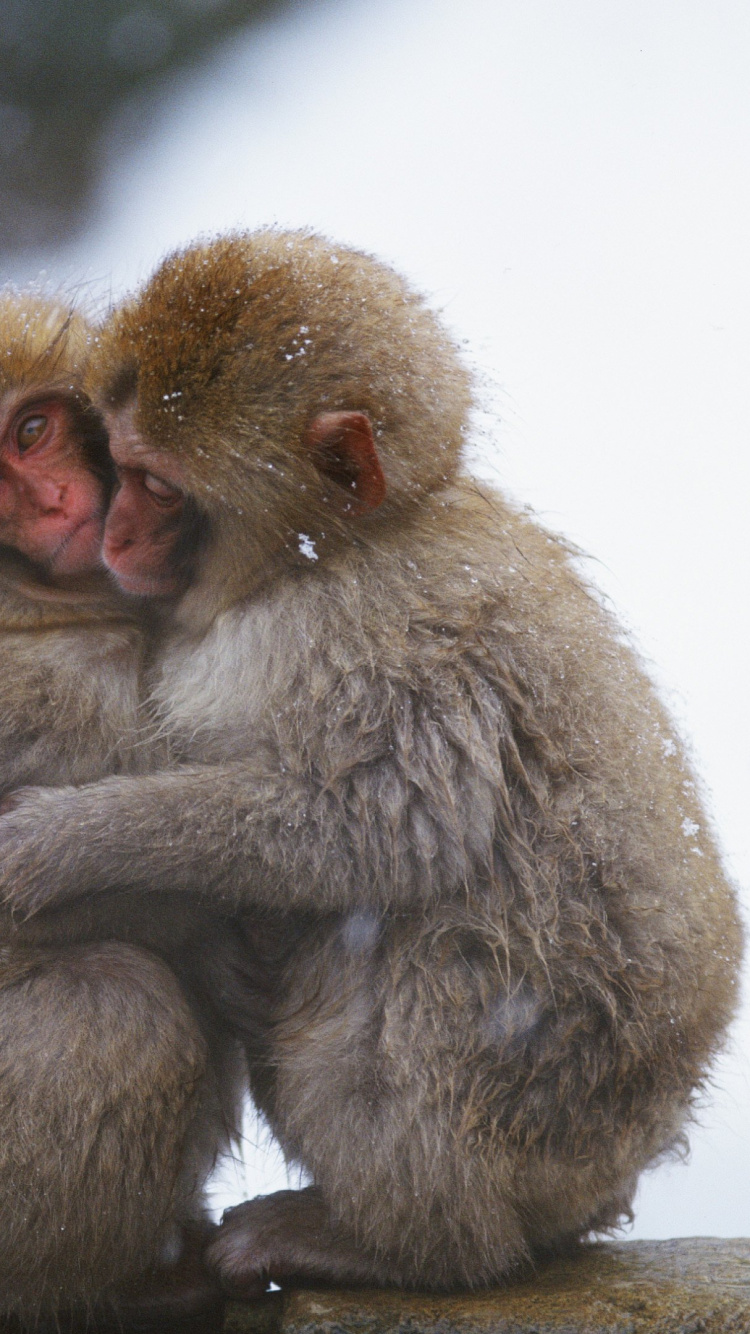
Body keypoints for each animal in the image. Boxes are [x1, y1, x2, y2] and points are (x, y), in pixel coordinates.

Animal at [0, 231, 741, 1296]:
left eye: (159, 486)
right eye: (120, 462)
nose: (112, 529)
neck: (332, 552)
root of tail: (608, 1172)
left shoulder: (377, 635)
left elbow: (384, 824)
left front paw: (61, 844)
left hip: (511, 1109)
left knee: (386, 947)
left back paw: (402, 1244)